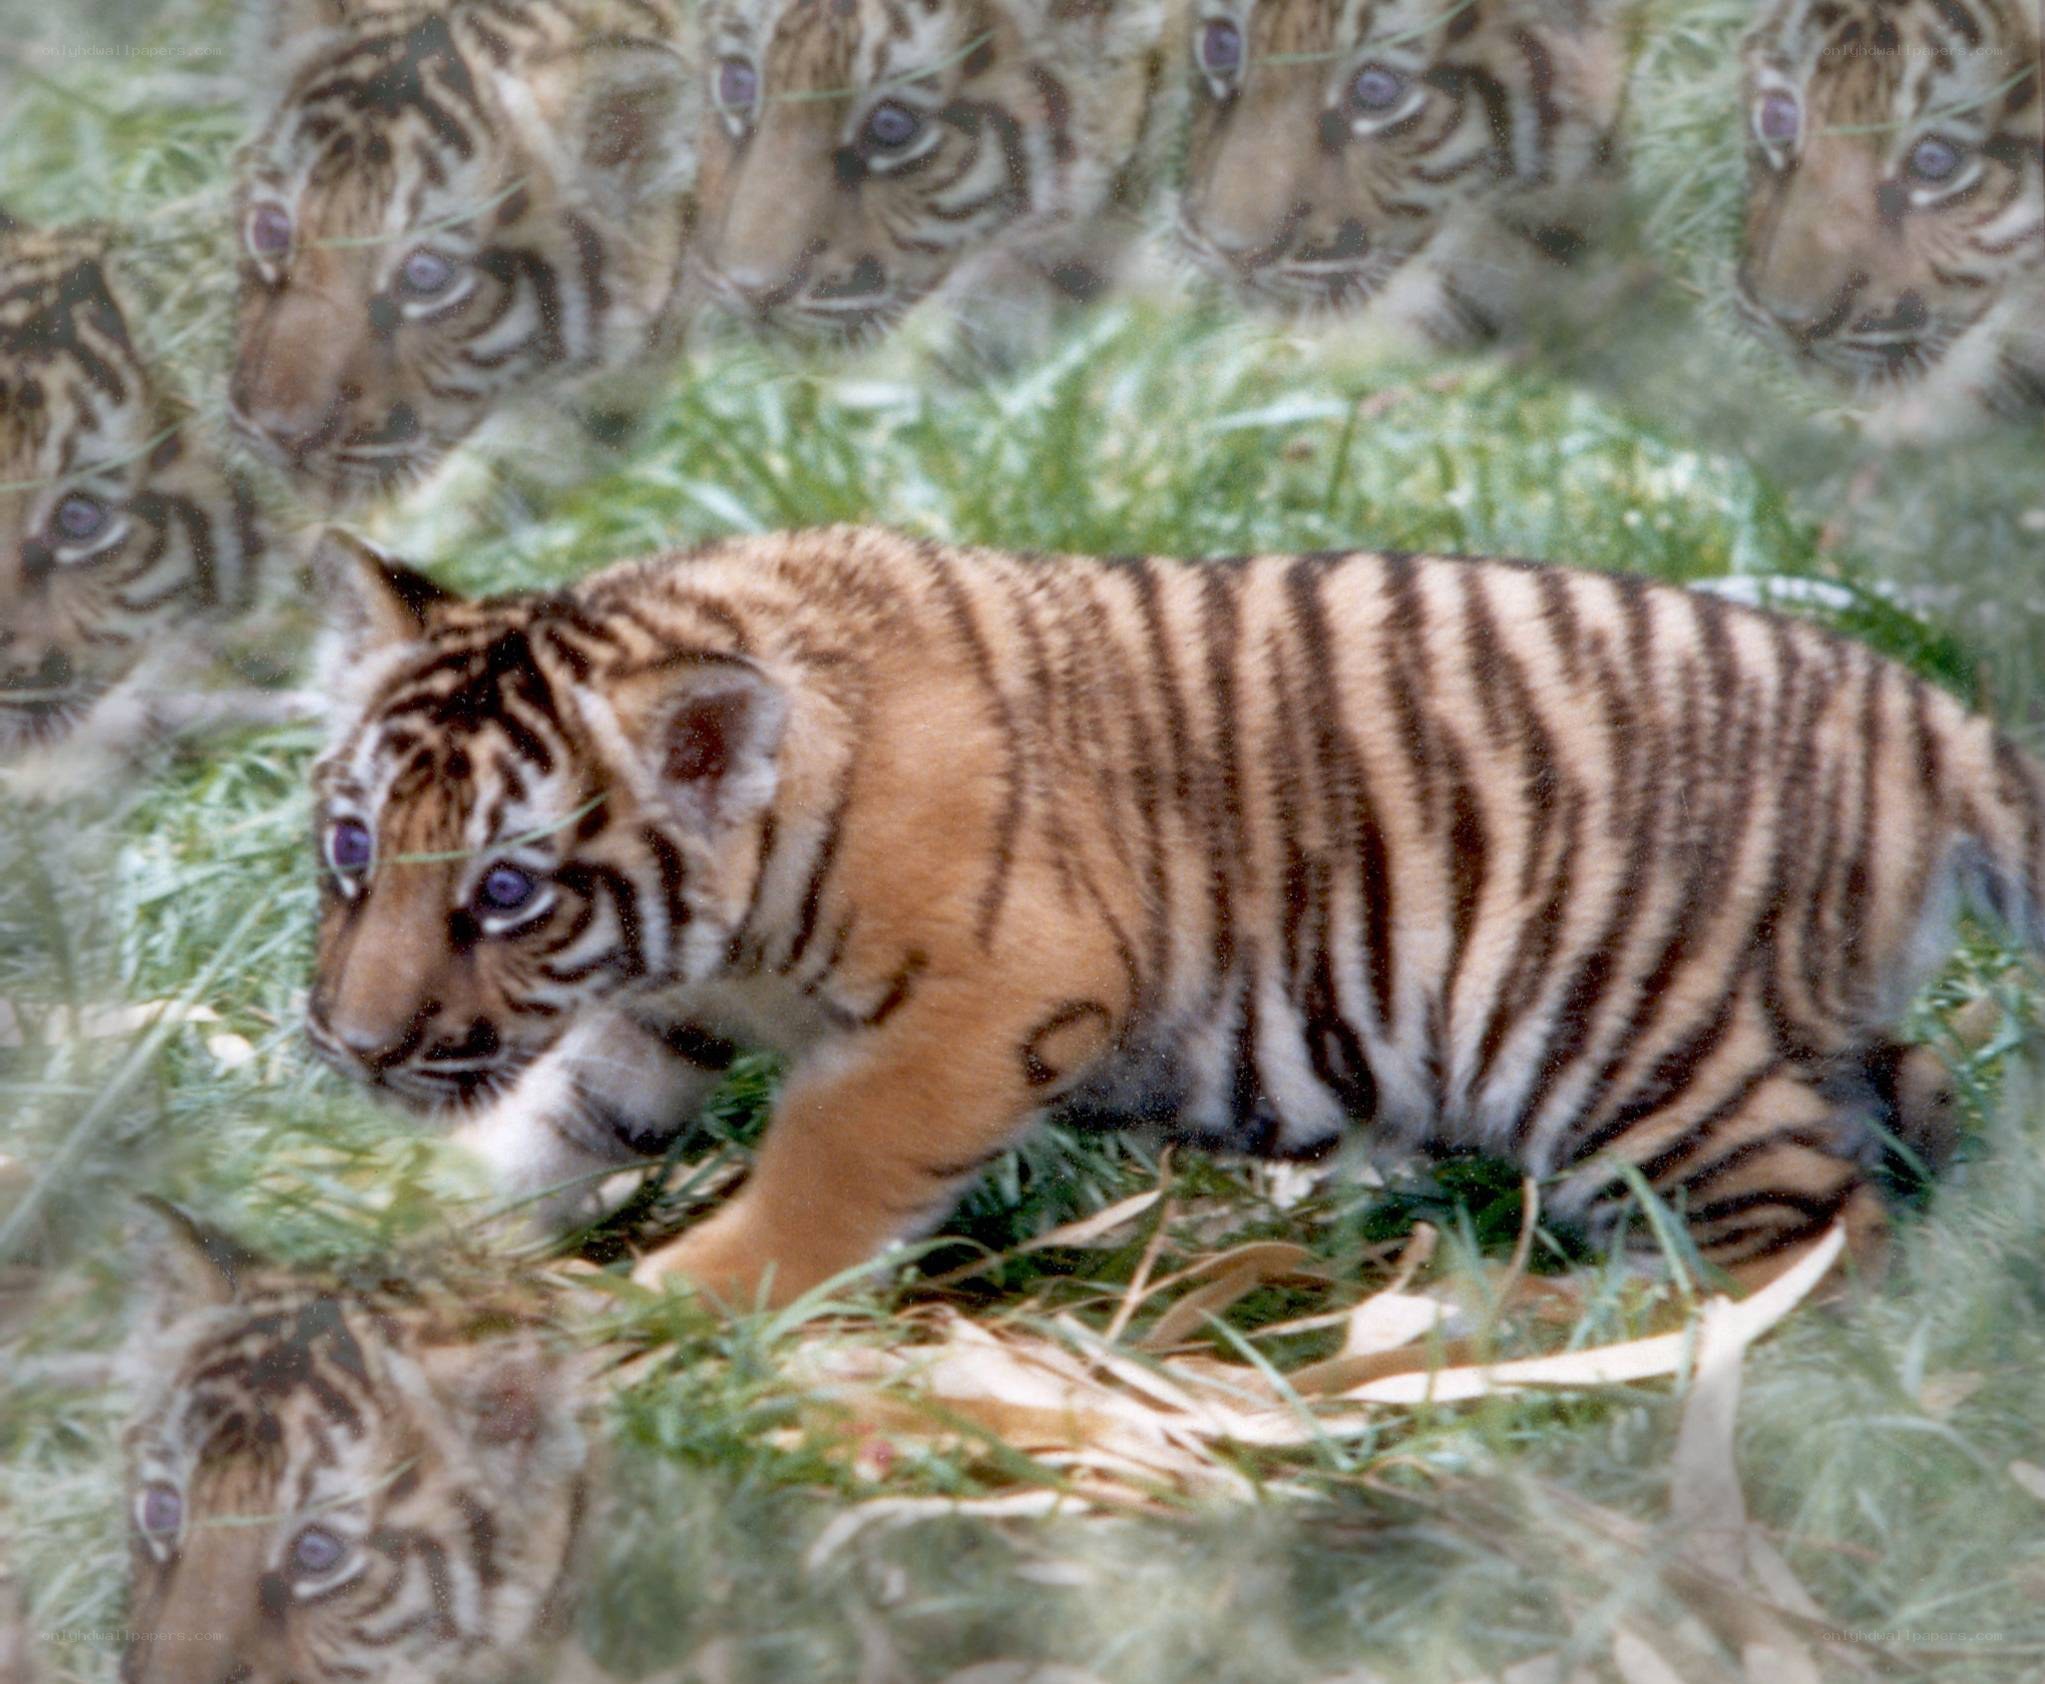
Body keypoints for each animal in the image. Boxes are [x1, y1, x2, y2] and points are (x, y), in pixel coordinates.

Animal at [301, 523, 2041, 1309]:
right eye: (351, 850)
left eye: (507, 891)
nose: (354, 1045)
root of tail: (1914, 708)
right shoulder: (661, 1019)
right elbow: (553, 1119)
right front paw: (395, 1220)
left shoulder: (998, 996)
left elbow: (827, 1166)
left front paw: (690, 1303)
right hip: (1781, 1023)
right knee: (1902, 1111)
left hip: (1612, 1035)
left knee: (1811, 1223)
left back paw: (1542, 1325)